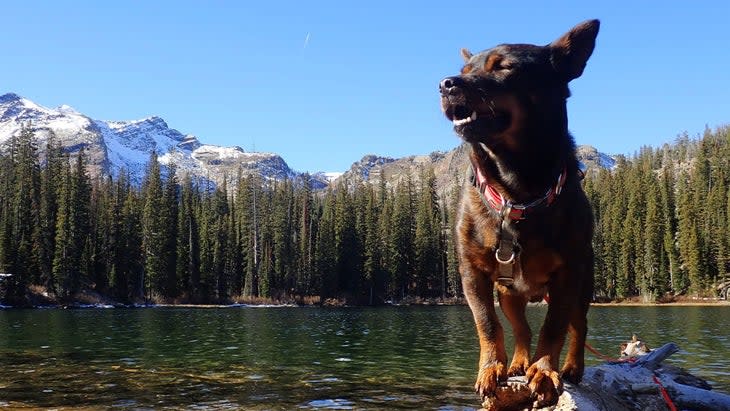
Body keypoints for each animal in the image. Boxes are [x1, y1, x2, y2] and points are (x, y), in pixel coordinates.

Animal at [438, 20, 596, 408]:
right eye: (465, 70)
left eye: (505, 67)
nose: (446, 84)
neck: (516, 192)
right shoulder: (472, 274)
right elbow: (488, 325)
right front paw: (492, 368)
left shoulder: (568, 274)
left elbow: (553, 327)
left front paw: (545, 371)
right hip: (510, 294)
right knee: (521, 327)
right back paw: (519, 362)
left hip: (583, 284)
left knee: (578, 325)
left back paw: (572, 367)